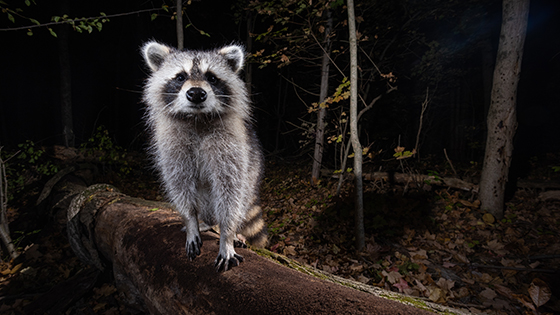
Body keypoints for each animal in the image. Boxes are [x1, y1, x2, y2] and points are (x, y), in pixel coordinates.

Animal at [143, 41, 268, 272]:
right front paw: (191, 221)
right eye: (180, 77)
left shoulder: (231, 147)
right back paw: (206, 222)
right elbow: (180, 186)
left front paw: (227, 235)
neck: (197, 118)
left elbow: (230, 192)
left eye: (211, 77)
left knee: (239, 198)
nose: (196, 93)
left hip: (251, 175)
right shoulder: (172, 146)